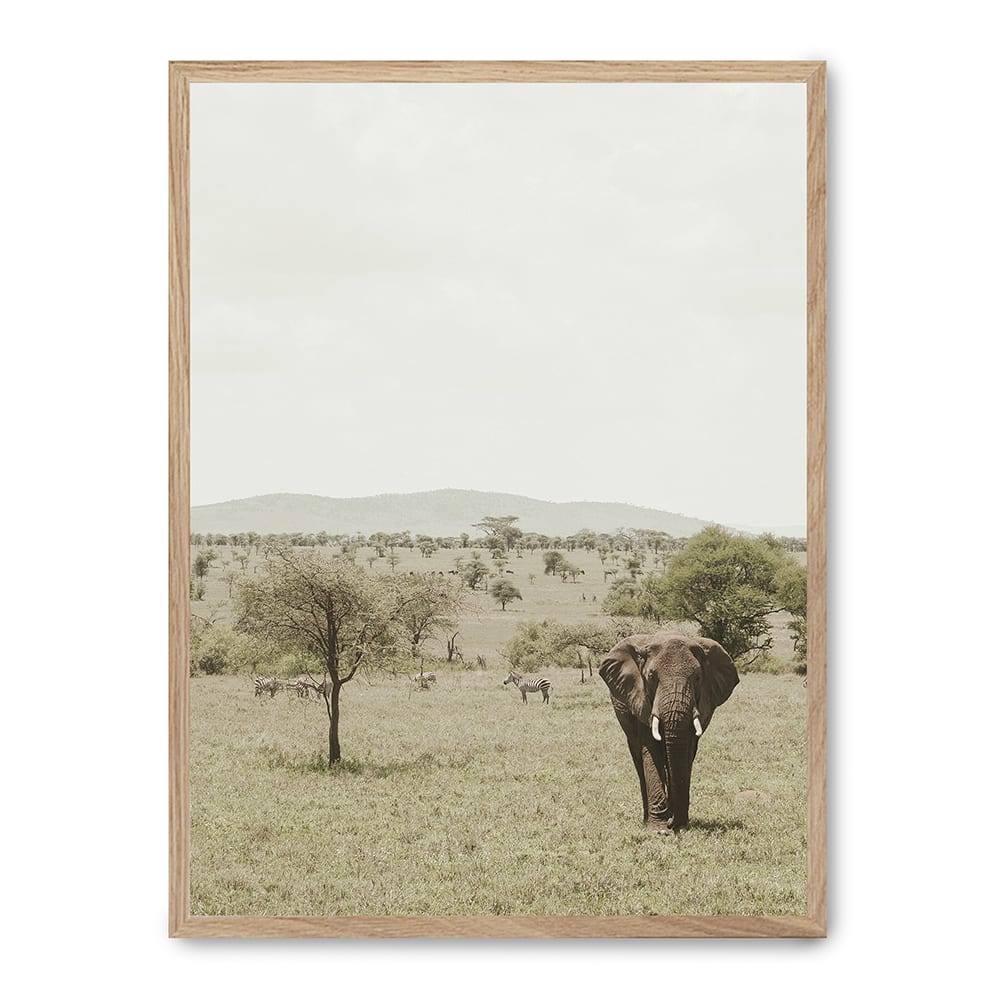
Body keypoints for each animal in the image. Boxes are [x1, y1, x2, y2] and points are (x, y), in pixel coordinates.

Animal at [598, 631, 739, 833]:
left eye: (697, 678)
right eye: (651, 676)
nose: (673, 823)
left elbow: (686, 753)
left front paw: (678, 823)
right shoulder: (641, 699)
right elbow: (650, 752)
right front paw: (658, 829)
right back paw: (647, 818)